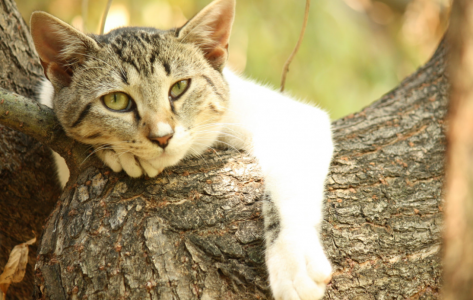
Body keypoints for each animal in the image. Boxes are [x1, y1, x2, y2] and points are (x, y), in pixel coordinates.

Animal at [31, 1, 334, 298]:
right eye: (116, 100)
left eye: (179, 87)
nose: (163, 136)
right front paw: (119, 152)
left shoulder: (287, 117)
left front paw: (294, 263)